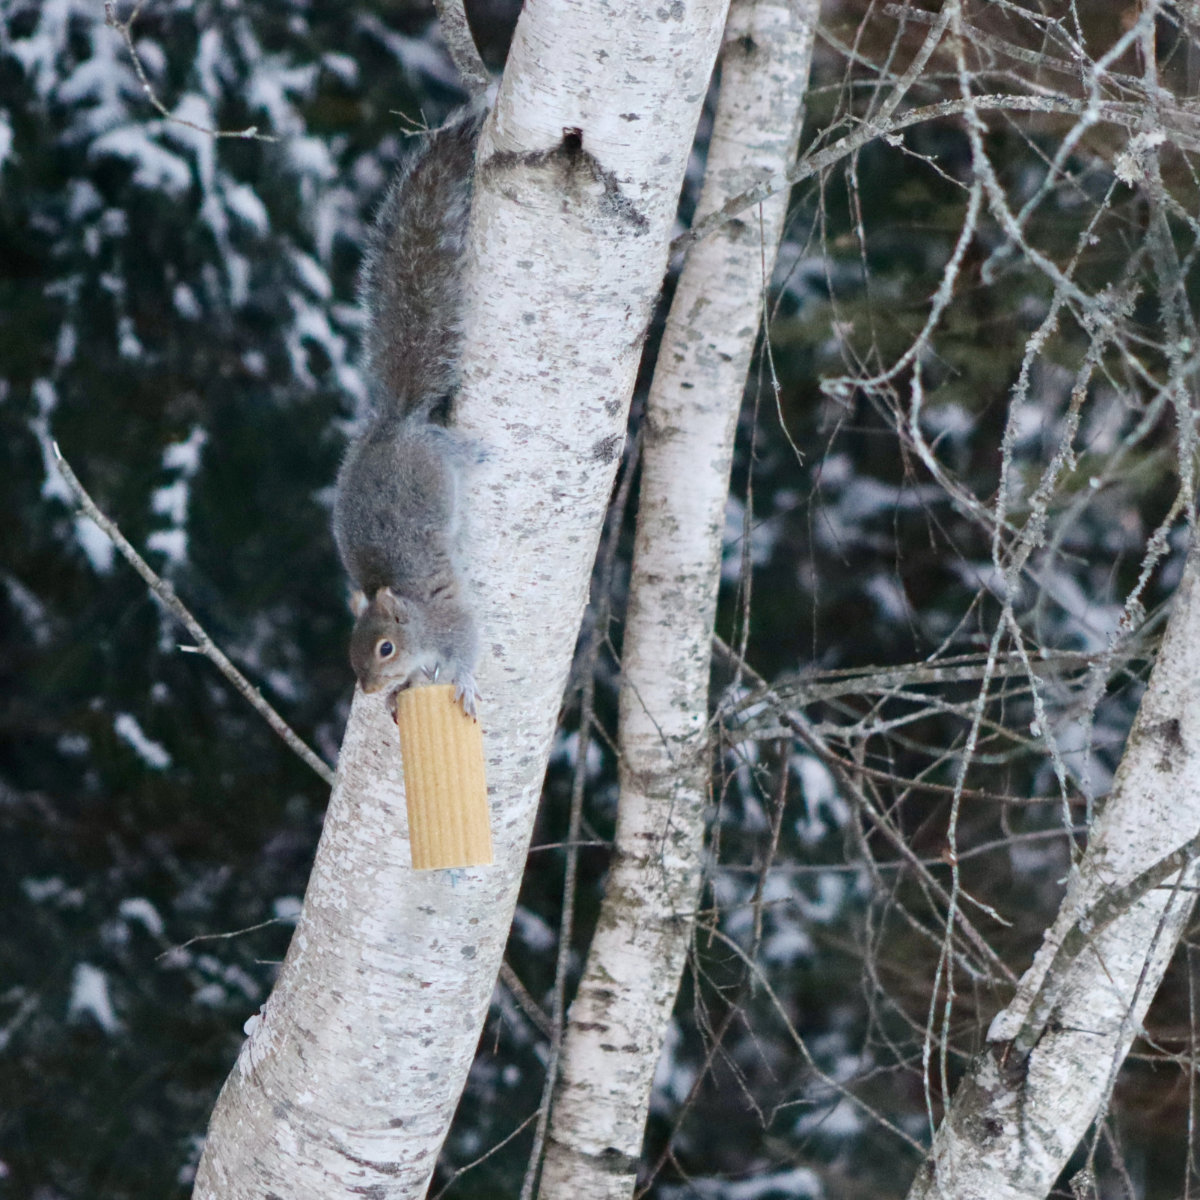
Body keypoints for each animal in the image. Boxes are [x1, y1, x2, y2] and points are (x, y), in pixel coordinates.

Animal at [331, 108, 484, 715]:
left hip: (435, 455)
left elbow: (466, 643)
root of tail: (394, 425)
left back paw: (476, 452)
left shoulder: (449, 619)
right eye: (351, 653)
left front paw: (463, 683)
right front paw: (401, 700)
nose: (371, 689)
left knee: (449, 446)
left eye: (386, 648)